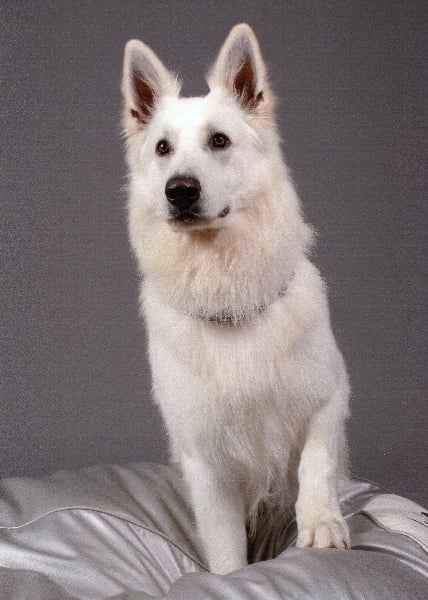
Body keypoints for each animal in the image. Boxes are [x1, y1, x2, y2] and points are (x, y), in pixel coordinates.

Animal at [121, 23, 351, 574]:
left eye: (219, 141)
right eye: (162, 148)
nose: (179, 191)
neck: (228, 296)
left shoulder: (330, 393)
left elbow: (316, 459)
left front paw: (321, 523)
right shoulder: (206, 464)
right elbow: (227, 554)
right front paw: (229, 580)